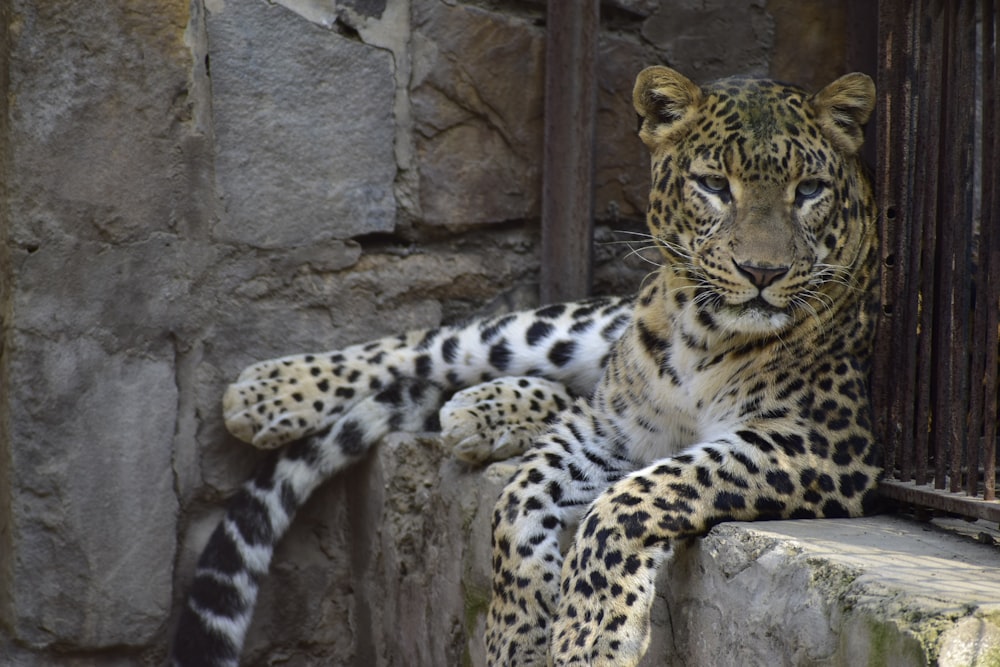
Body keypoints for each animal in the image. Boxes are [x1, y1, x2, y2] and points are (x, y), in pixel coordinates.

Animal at [170, 64, 876, 667]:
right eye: (714, 186)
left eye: (809, 191)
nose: (762, 273)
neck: (704, 336)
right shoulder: (611, 431)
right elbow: (515, 504)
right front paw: (517, 638)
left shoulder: (824, 446)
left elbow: (630, 499)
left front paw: (588, 639)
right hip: (567, 333)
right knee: (445, 343)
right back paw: (266, 391)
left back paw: (477, 414)